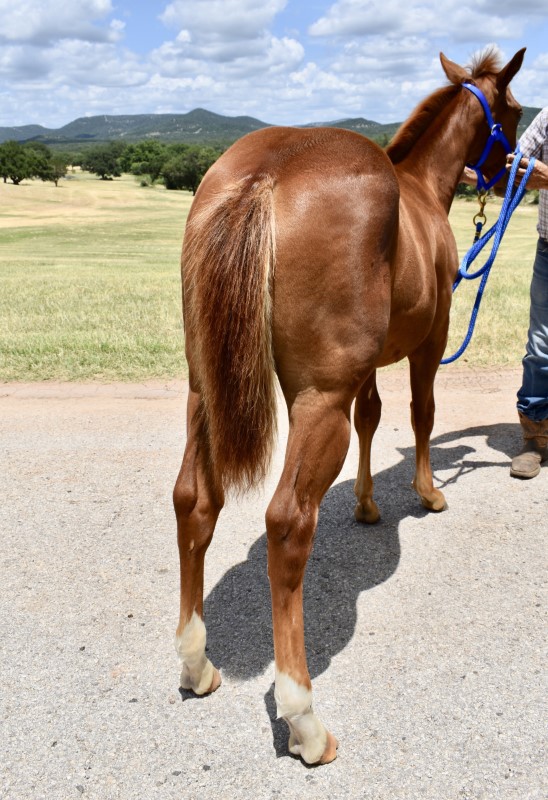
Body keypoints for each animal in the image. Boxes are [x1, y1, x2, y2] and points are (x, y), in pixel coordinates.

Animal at [173, 48, 524, 764]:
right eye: (517, 110)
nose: (523, 172)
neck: (420, 190)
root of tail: (267, 174)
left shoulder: (368, 367)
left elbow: (373, 419)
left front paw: (366, 504)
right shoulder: (430, 341)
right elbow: (420, 413)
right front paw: (428, 492)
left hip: (204, 392)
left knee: (193, 499)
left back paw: (196, 663)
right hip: (316, 403)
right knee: (287, 524)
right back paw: (304, 718)